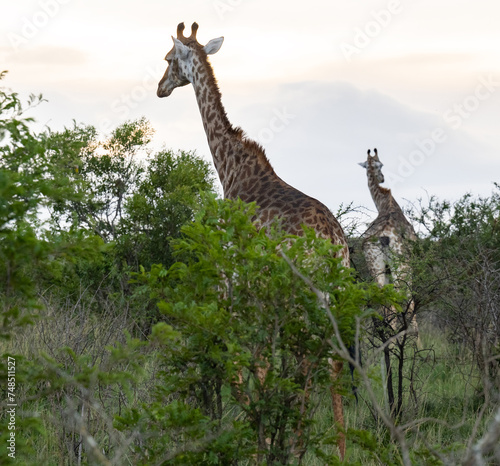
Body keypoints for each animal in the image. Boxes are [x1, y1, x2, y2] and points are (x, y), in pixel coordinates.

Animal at [158, 21, 350, 458]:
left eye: (167, 58)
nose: (160, 87)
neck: (229, 167)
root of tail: (333, 243)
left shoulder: (234, 282)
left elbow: (249, 364)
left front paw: (258, 441)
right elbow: (259, 363)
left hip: (301, 293)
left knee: (305, 359)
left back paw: (296, 446)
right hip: (334, 292)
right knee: (331, 361)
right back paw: (340, 448)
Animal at [358, 149, 420, 342]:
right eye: (381, 165)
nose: (383, 178)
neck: (385, 203)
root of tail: (383, 236)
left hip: (374, 264)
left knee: (384, 301)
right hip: (400, 265)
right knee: (403, 300)